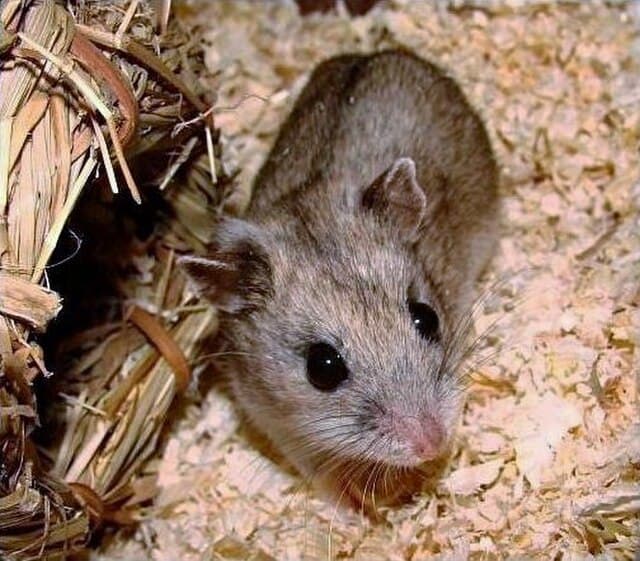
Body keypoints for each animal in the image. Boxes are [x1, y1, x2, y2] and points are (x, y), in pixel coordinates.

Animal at [181, 50, 499, 507]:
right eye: (323, 368)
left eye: (427, 318)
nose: (432, 443)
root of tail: (373, 51)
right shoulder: (272, 417)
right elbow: (319, 469)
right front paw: (361, 507)